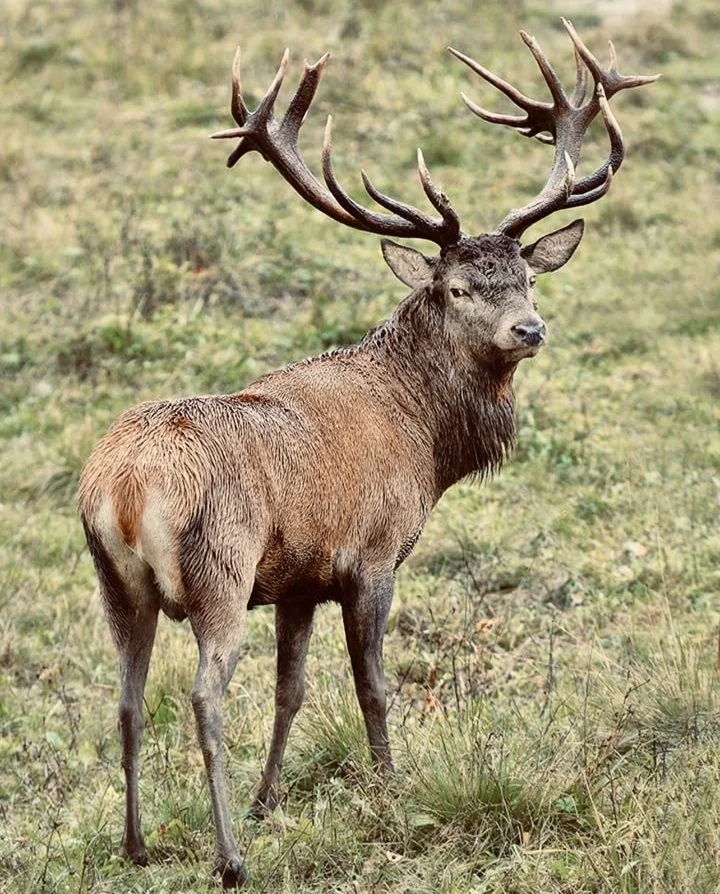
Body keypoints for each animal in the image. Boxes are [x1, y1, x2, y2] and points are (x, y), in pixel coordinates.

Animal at [78, 20, 657, 888]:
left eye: (526, 276)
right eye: (456, 288)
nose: (529, 329)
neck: (425, 440)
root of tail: (123, 486)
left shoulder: (295, 579)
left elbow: (291, 690)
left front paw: (268, 800)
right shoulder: (372, 554)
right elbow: (373, 686)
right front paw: (391, 791)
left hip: (119, 583)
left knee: (126, 698)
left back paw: (138, 843)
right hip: (218, 567)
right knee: (204, 696)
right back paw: (229, 859)